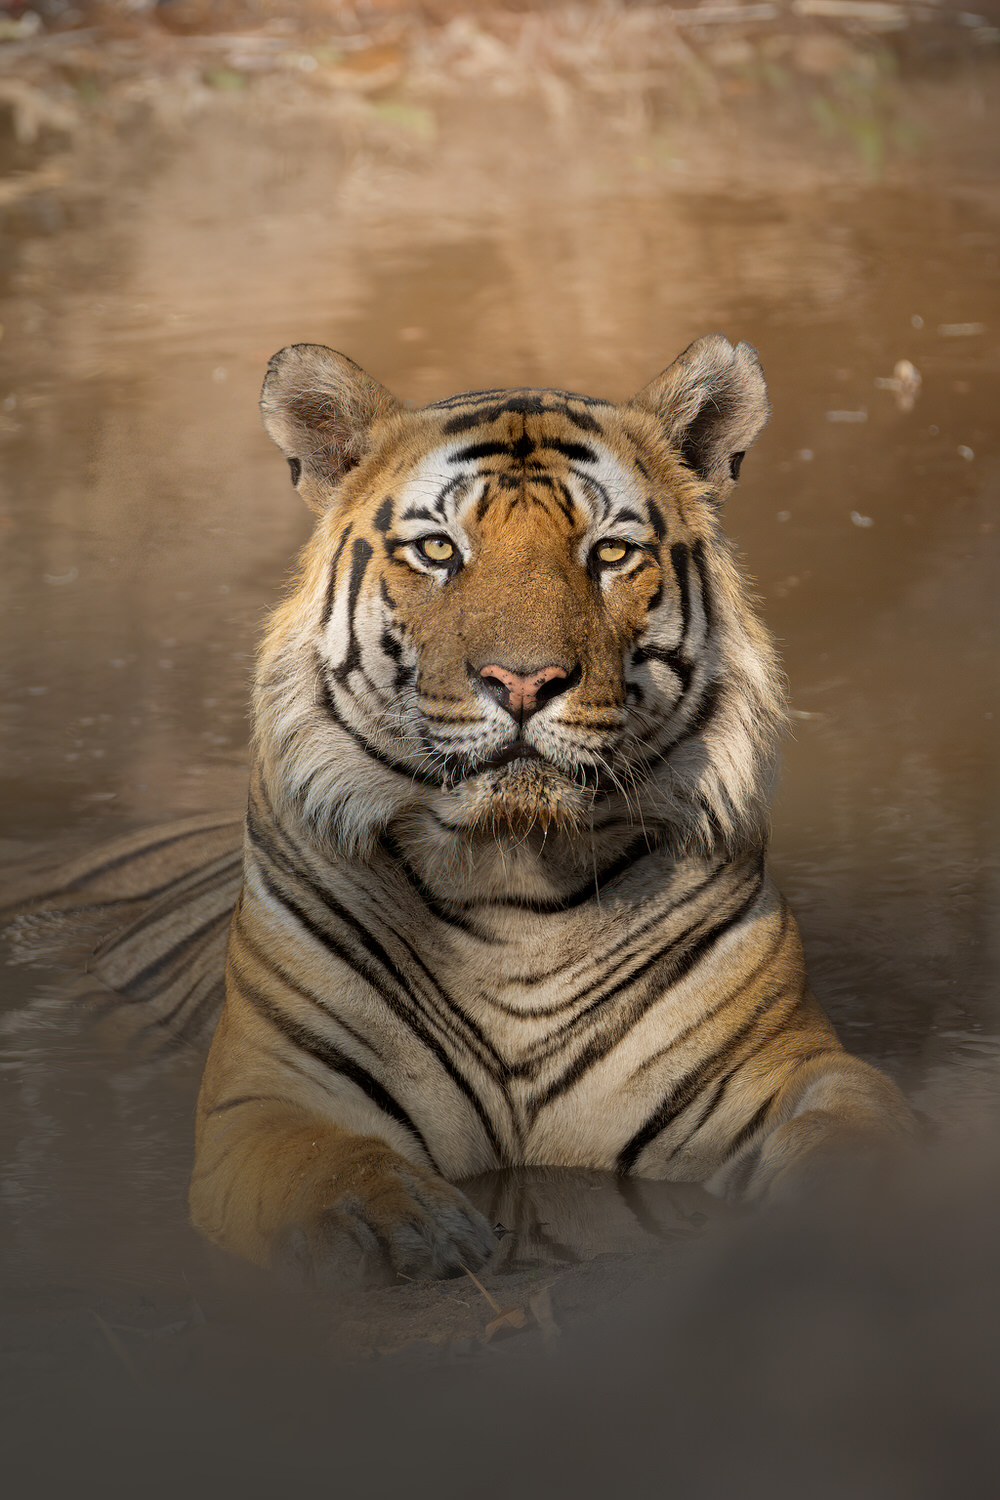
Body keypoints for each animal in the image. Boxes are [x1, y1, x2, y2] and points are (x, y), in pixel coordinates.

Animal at [177, 334, 914, 1286]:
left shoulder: (785, 1066)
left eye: (609, 555)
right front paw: (403, 1225)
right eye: (438, 550)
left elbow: (856, 1133)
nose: (523, 681)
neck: (511, 887)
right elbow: (322, 1161)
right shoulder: (265, 1099)